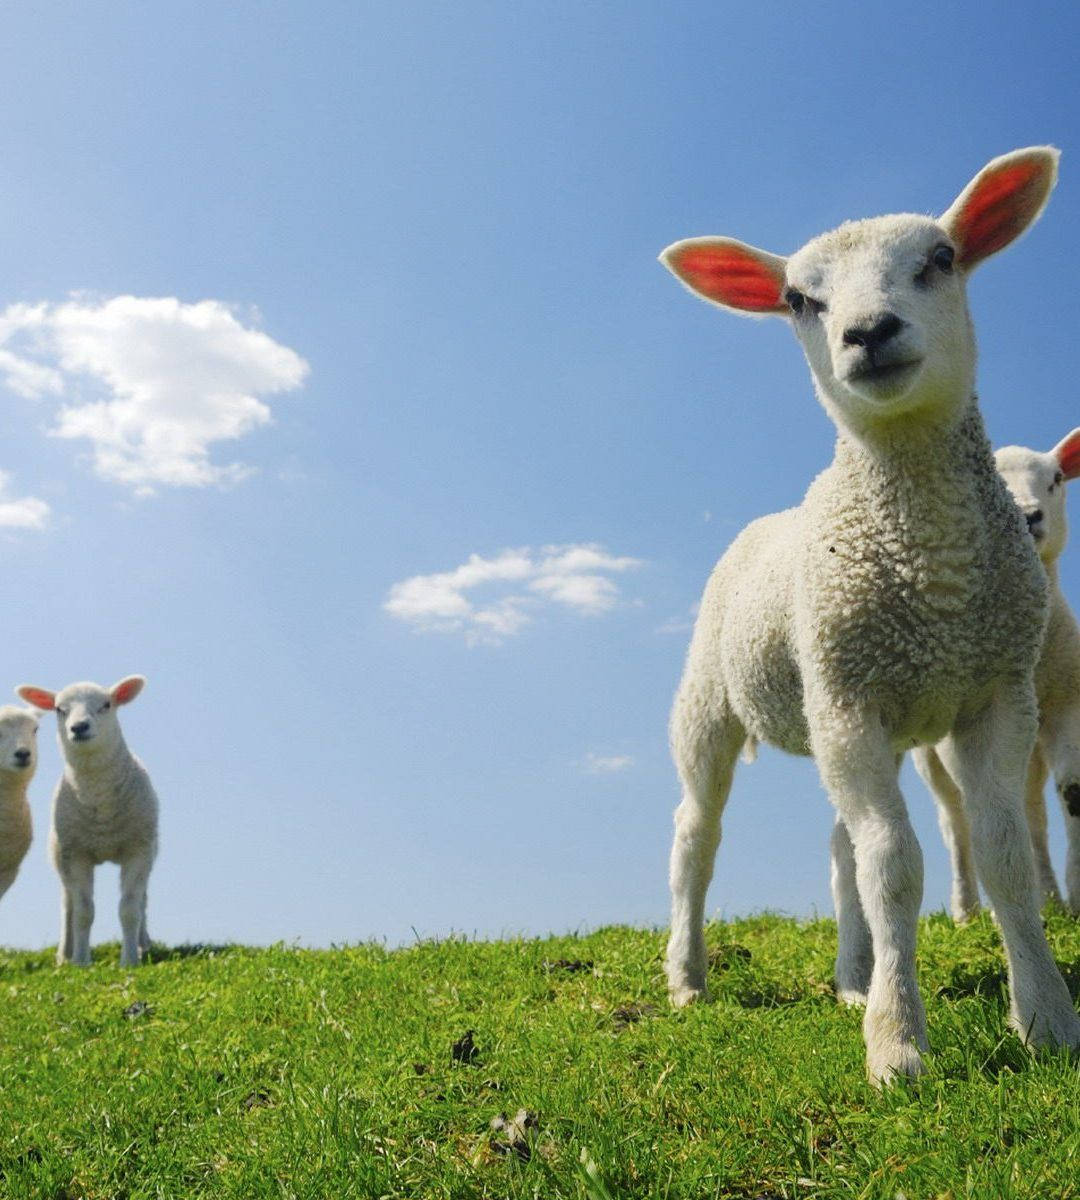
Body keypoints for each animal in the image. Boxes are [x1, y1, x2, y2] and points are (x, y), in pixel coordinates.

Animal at [17, 676, 158, 964]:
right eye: (59, 709)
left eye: (106, 705)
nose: (79, 727)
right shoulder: (76, 854)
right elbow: (83, 911)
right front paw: (82, 962)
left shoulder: (137, 850)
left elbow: (130, 908)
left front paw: (130, 960)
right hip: (59, 854)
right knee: (68, 903)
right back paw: (65, 955)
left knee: (143, 899)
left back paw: (143, 944)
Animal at [916, 432, 1080, 916]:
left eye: (1056, 479)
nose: (1027, 516)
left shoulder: (1065, 703)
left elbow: (1070, 792)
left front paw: (1074, 894)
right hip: (928, 754)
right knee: (954, 819)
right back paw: (967, 909)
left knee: (1030, 810)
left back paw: (1048, 896)